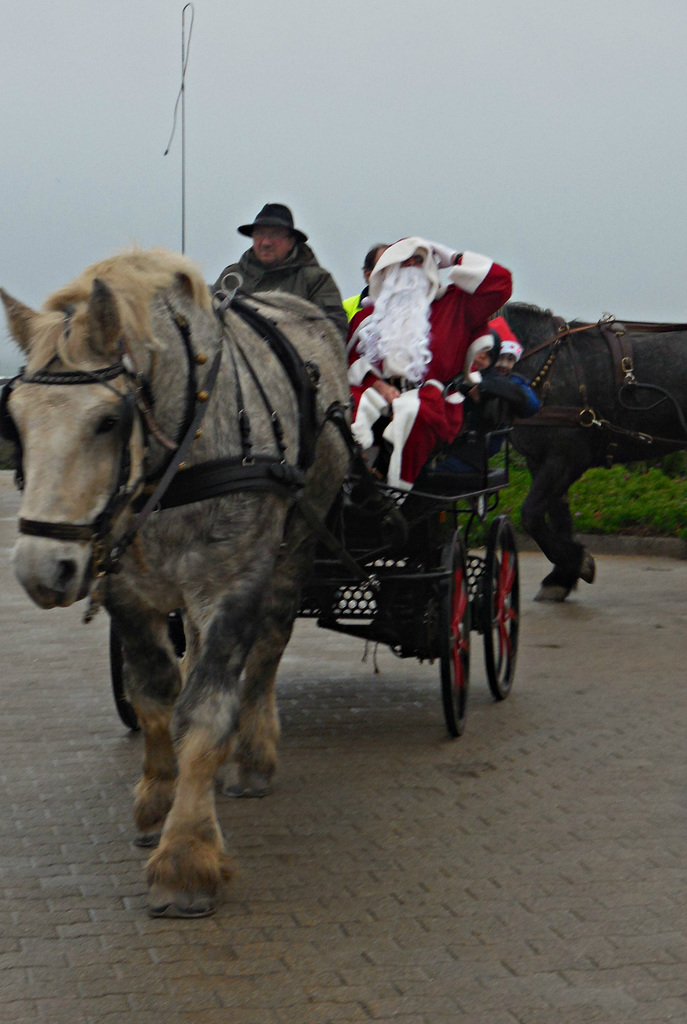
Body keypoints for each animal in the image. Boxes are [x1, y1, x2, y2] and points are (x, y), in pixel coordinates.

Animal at [1, 249, 350, 921]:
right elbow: (156, 694)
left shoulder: (235, 582)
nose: (41, 569)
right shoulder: (127, 592)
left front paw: (186, 856)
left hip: (294, 545)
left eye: (108, 420)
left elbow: (205, 711)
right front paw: (158, 800)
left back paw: (253, 756)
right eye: (16, 421)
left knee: (267, 651)